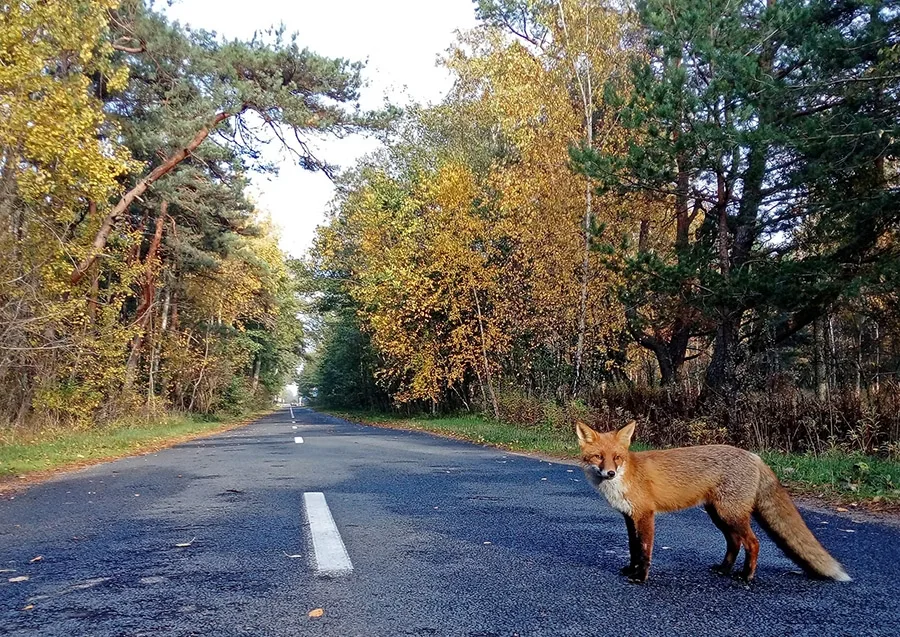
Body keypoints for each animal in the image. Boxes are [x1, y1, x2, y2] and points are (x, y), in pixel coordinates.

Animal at [575, 420, 851, 584]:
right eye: (598, 457)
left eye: (617, 457)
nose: (610, 473)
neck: (626, 476)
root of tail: (753, 455)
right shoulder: (629, 517)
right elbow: (633, 548)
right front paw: (630, 569)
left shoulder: (645, 515)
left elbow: (645, 550)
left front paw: (641, 576)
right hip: (718, 514)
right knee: (735, 542)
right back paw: (723, 569)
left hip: (730, 514)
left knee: (753, 542)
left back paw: (746, 576)